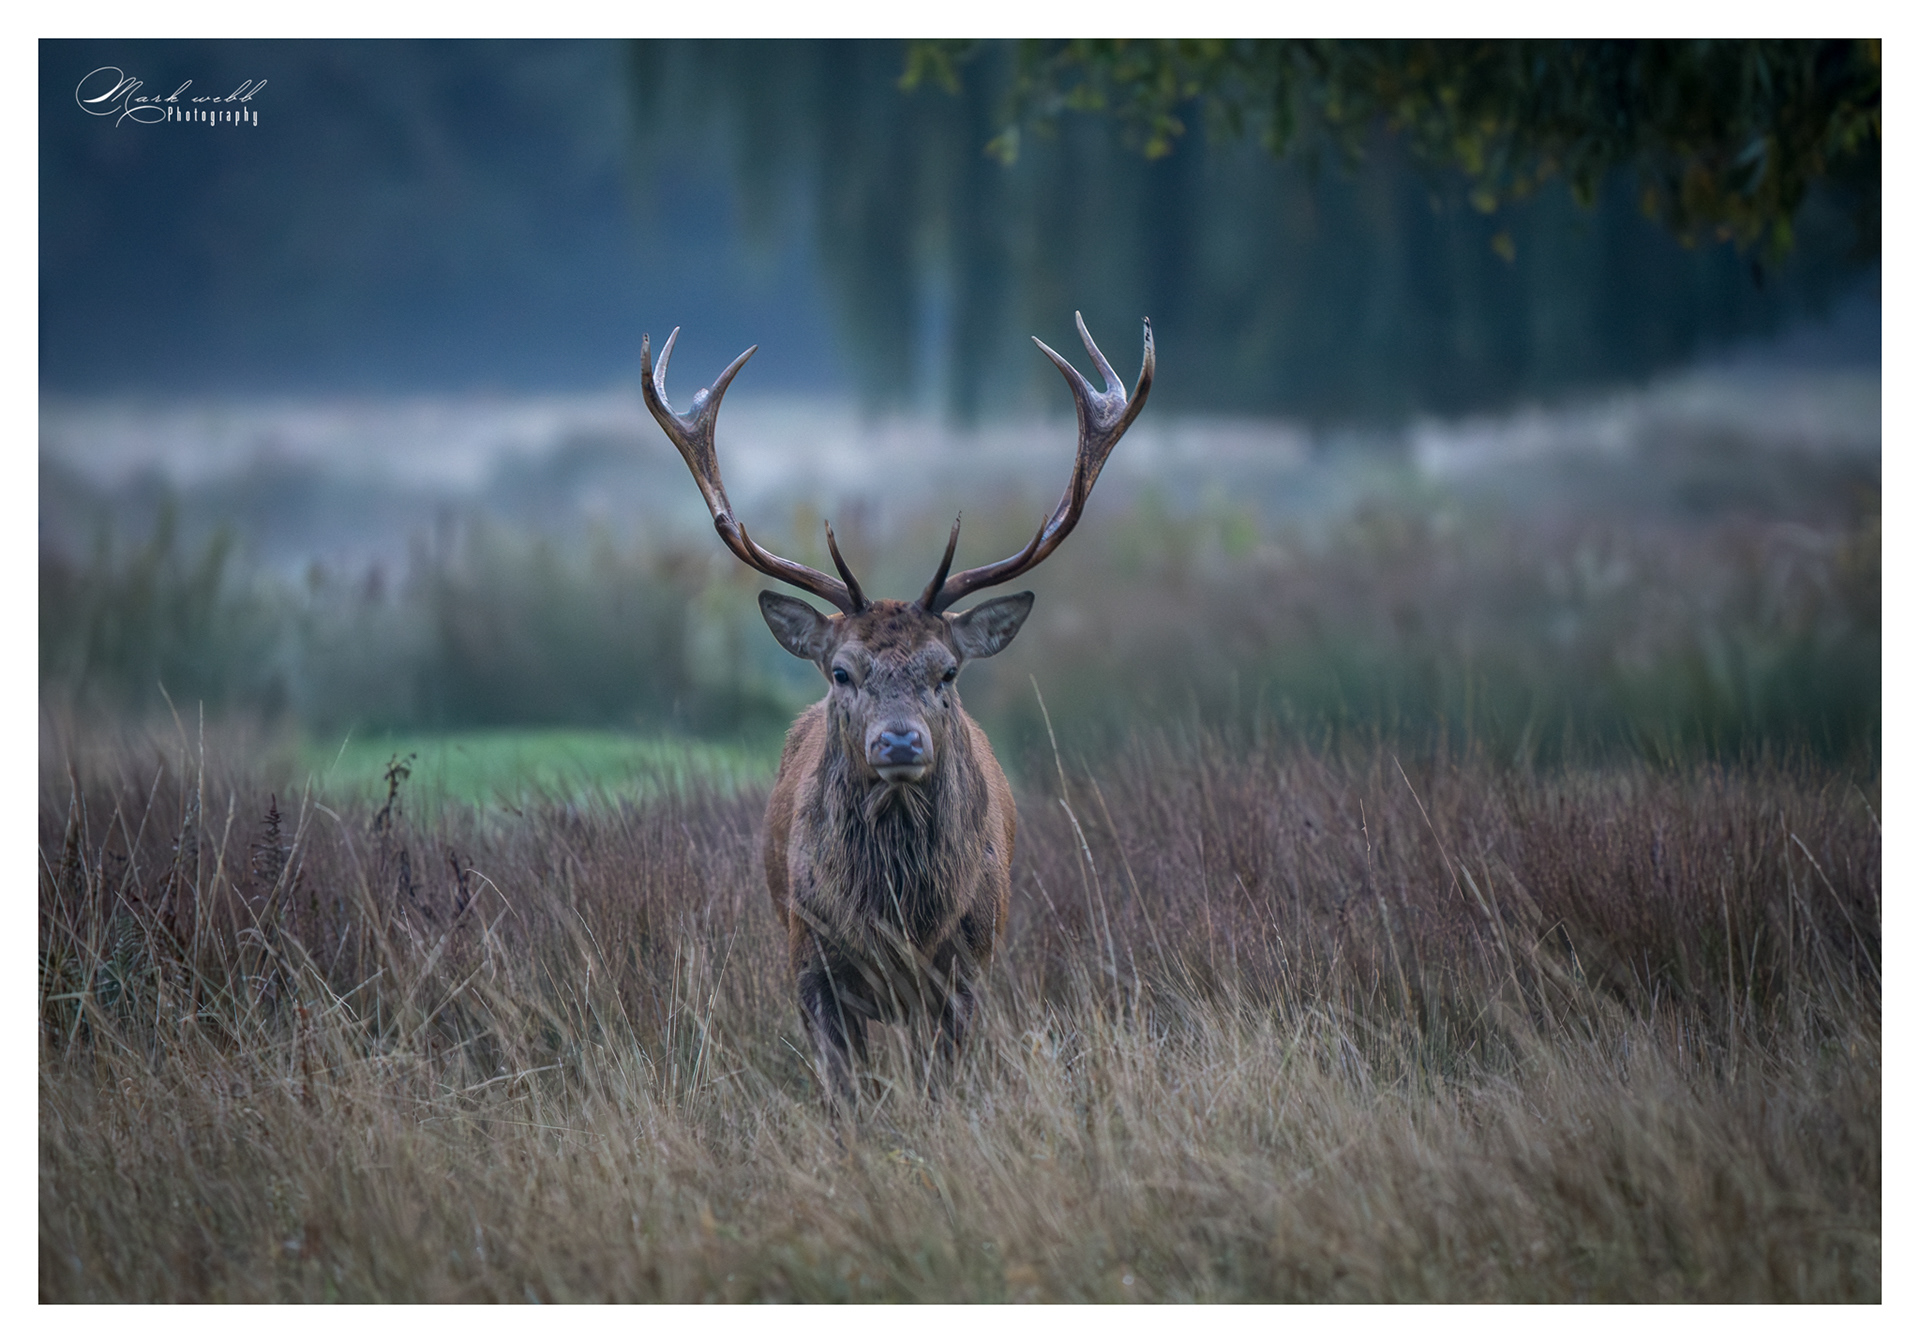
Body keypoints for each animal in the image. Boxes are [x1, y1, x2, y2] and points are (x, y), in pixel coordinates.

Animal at [640, 313, 1153, 1105]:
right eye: (841, 671)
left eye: (947, 670)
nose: (901, 743)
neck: (898, 922)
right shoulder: (810, 963)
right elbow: (845, 1093)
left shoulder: (966, 969)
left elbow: (943, 1085)